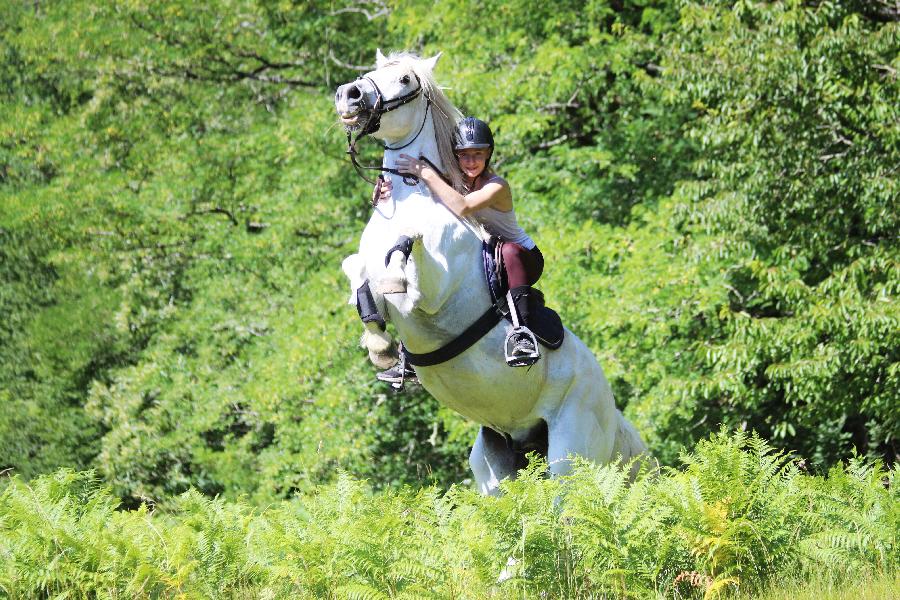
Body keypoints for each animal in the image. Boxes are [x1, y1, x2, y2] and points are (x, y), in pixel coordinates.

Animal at [334, 51, 644, 494]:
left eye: (405, 78)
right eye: (372, 72)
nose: (350, 94)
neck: (413, 201)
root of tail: (612, 412)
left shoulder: (433, 292)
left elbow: (407, 267)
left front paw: (395, 282)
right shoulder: (363, 269)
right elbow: (358, 275)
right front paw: (380, 347)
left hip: (571, 451)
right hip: (495, 464)